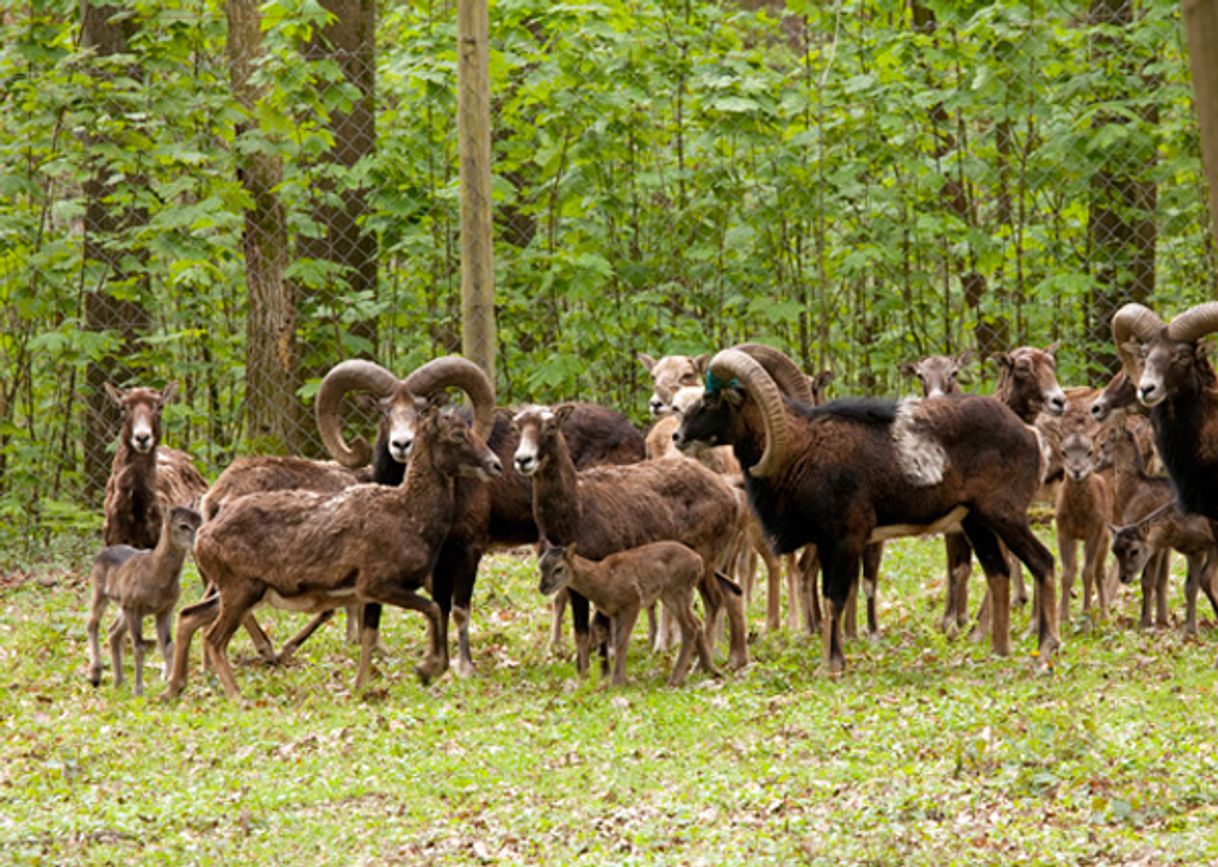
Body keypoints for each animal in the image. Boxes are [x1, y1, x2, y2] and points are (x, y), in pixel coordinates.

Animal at [87, 504, 203, 696]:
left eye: (201, 522)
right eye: (183, 525)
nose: (198, 542)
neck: (155, 574)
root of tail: (100, 554)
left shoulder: (165, 609)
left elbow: (168, 645)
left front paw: (168, 681)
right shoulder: (135, 607)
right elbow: (139, 647)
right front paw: (138, 690)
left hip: (123, 606)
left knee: (113, 631)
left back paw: (119, 681)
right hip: (101, 592)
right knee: (92, 624)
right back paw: (95, 675)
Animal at [538, 538, 716, 686]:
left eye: (559, 569)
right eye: (540, 566)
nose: (542, 588)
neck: (603, 580)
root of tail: (699, 561)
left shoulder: (632, 603)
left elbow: (621, 641)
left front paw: (617, 681)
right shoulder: (614, 612)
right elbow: (615, 640)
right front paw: (619, 678)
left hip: (677, 591)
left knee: (690, 628)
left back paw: (675, 678)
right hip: (673, 595)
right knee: (697, 623)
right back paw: (710, 669)